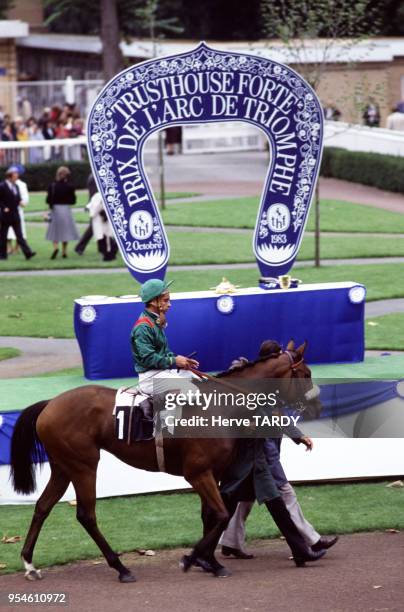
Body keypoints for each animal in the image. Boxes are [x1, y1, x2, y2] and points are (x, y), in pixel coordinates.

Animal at [10, 340, 318, 584]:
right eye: (305, 373)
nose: (316, 406)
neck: (221, 405)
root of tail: (49, 404)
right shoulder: (197, 473)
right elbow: (220, 514)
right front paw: (192, 559)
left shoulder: (213, 472)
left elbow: (211, 515)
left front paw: (210, 562)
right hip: (84, 465)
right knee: (86, 515)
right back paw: (121, 568)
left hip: (63, 467)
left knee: (43, 507)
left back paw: (30, 564)